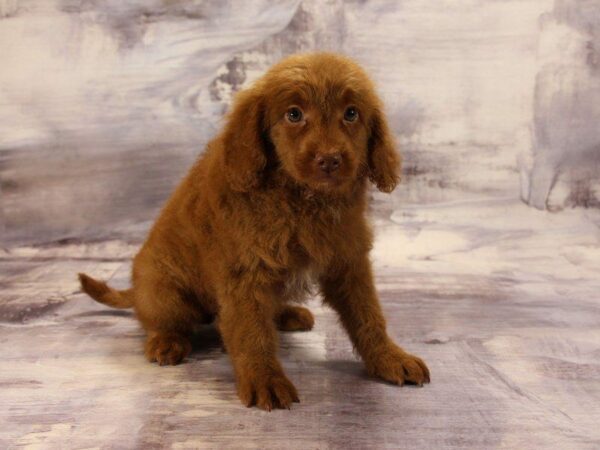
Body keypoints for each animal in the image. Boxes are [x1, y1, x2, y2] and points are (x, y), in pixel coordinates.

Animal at [79, 52, 428, 412]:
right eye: (293, 114)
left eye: (351, 113)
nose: (329, 160)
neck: (302, 201)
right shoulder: (245, 272)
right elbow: (252, 331)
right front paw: (265, 379)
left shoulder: (348, 260)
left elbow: (368, 316)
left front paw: (390, 357)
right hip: (163, 289)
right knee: (160, 320)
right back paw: (166, 341)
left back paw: (287, 313)